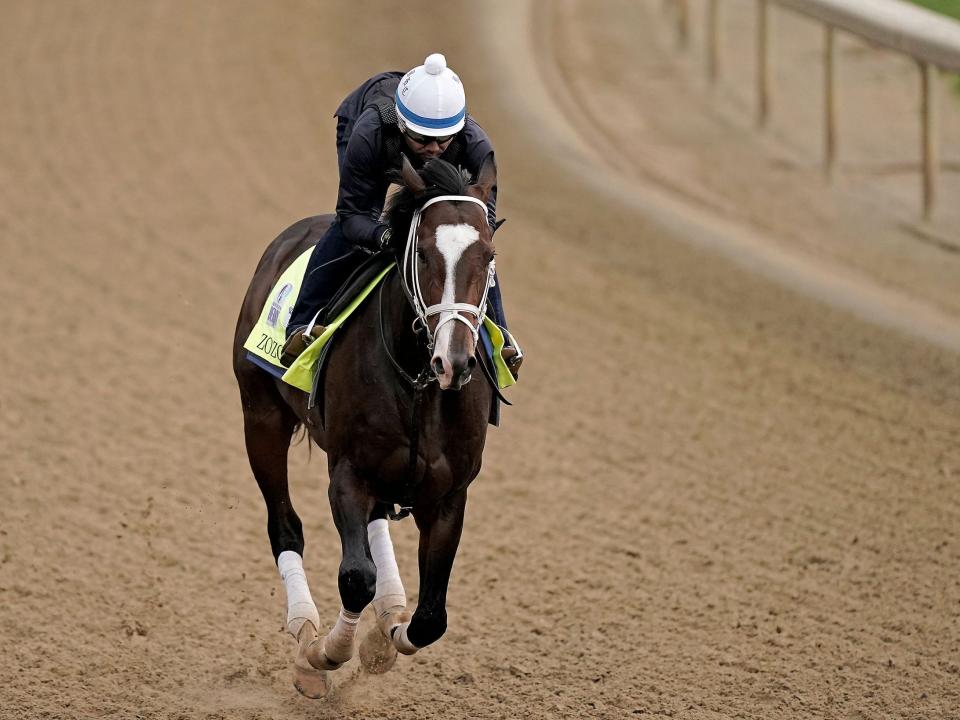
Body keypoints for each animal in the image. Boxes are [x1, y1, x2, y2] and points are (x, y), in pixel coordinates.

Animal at [232, 153, 498, 696]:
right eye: (423, 255)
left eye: (486, 255)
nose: (455, 362)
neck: (419, 381)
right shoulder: (349, 472)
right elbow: (356, 577)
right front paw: (323, 654)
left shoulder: (449, 495)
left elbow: (430, 618)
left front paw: (383, 639)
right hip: (260, 416)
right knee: (284, 527)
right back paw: (305, 627)